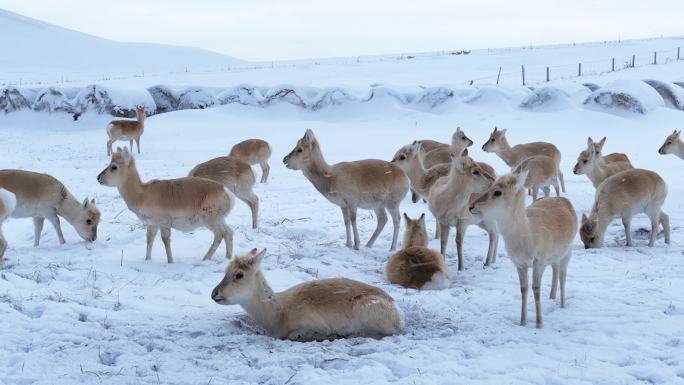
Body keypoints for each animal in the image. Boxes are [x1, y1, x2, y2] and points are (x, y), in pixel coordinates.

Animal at [97, 147, 234, 260]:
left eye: (114, 167)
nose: (98, 178)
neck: (142, 194)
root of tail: (224, 190)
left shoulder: (163, 224)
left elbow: (165, 241)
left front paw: (170, 261)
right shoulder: (152, 225)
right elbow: (149, 240)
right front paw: (147, 260)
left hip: (210, 221)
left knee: (219, 235)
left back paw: (205, 259)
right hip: (220, 220)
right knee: (229, 232)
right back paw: (228, 257)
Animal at [208, 246, 400, 340]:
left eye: (239, 274)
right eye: (225, 271)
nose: (214, 294)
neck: (279, 311)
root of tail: (398, 312)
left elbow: (294, 335)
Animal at [470, 171, 576, 328]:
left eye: (497, 192)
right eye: (489, 186)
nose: (471, 206)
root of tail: (564, 200)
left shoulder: (539, 261)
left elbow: (536, 288)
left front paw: (539, 323)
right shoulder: (519, 263)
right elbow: (523, 289)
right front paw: (522, 321)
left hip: (568, 252)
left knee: (563, 276)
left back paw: (562, 305)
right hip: (554, 256)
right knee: (555, 269)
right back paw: (551, 296)